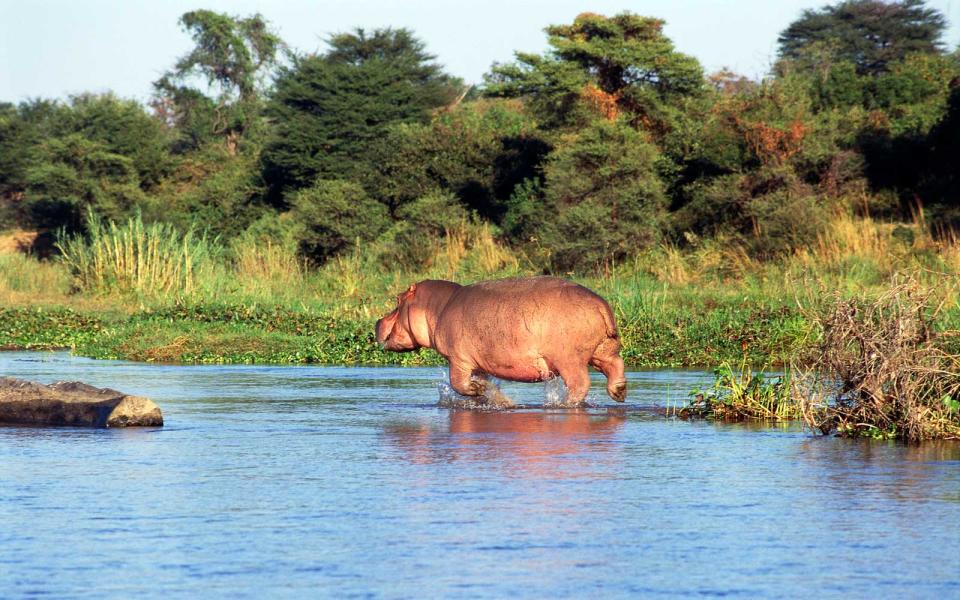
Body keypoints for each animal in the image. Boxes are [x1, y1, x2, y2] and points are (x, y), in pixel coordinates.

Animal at [372, 276, 628, 406]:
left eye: (398, 300)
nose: (376, 321)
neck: (437, 306)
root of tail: (601, 303)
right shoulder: (479, 364)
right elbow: (485, 383)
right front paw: (494, 396)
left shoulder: (458, 359)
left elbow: (458, 383)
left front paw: (477, 390)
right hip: (603, 349)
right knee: (616, 365)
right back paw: (619, 392)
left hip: (569, 358)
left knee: (580, 383)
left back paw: (566, 404)